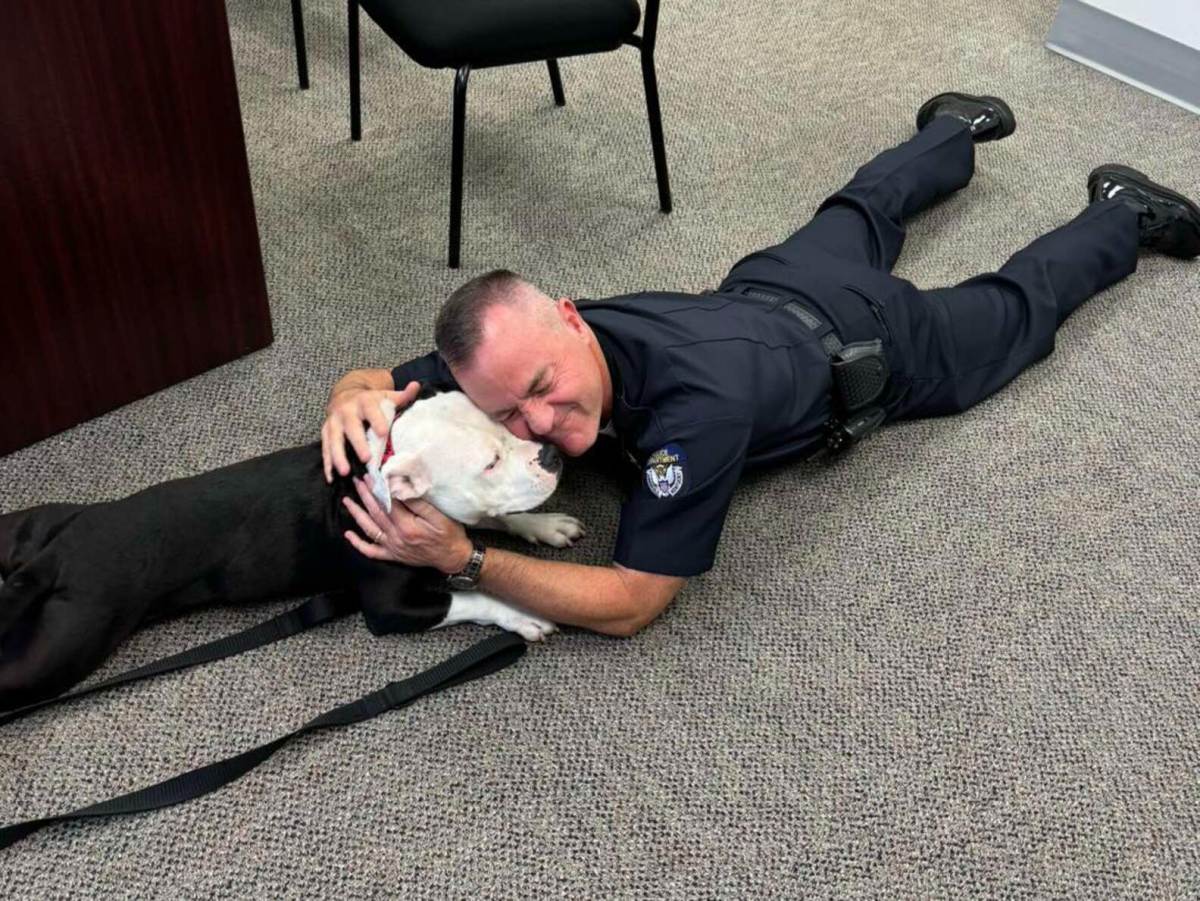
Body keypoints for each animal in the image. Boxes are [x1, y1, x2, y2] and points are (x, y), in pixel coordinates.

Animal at [0, 391, 580, 715]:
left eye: (505, 424)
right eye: (488, 463)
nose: (551, 453)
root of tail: (59, 551)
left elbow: (495, 519)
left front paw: (543, 524)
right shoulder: (390, 608)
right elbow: (473, 595)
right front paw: (520, 614)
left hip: (38, 522)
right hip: (69, 638)